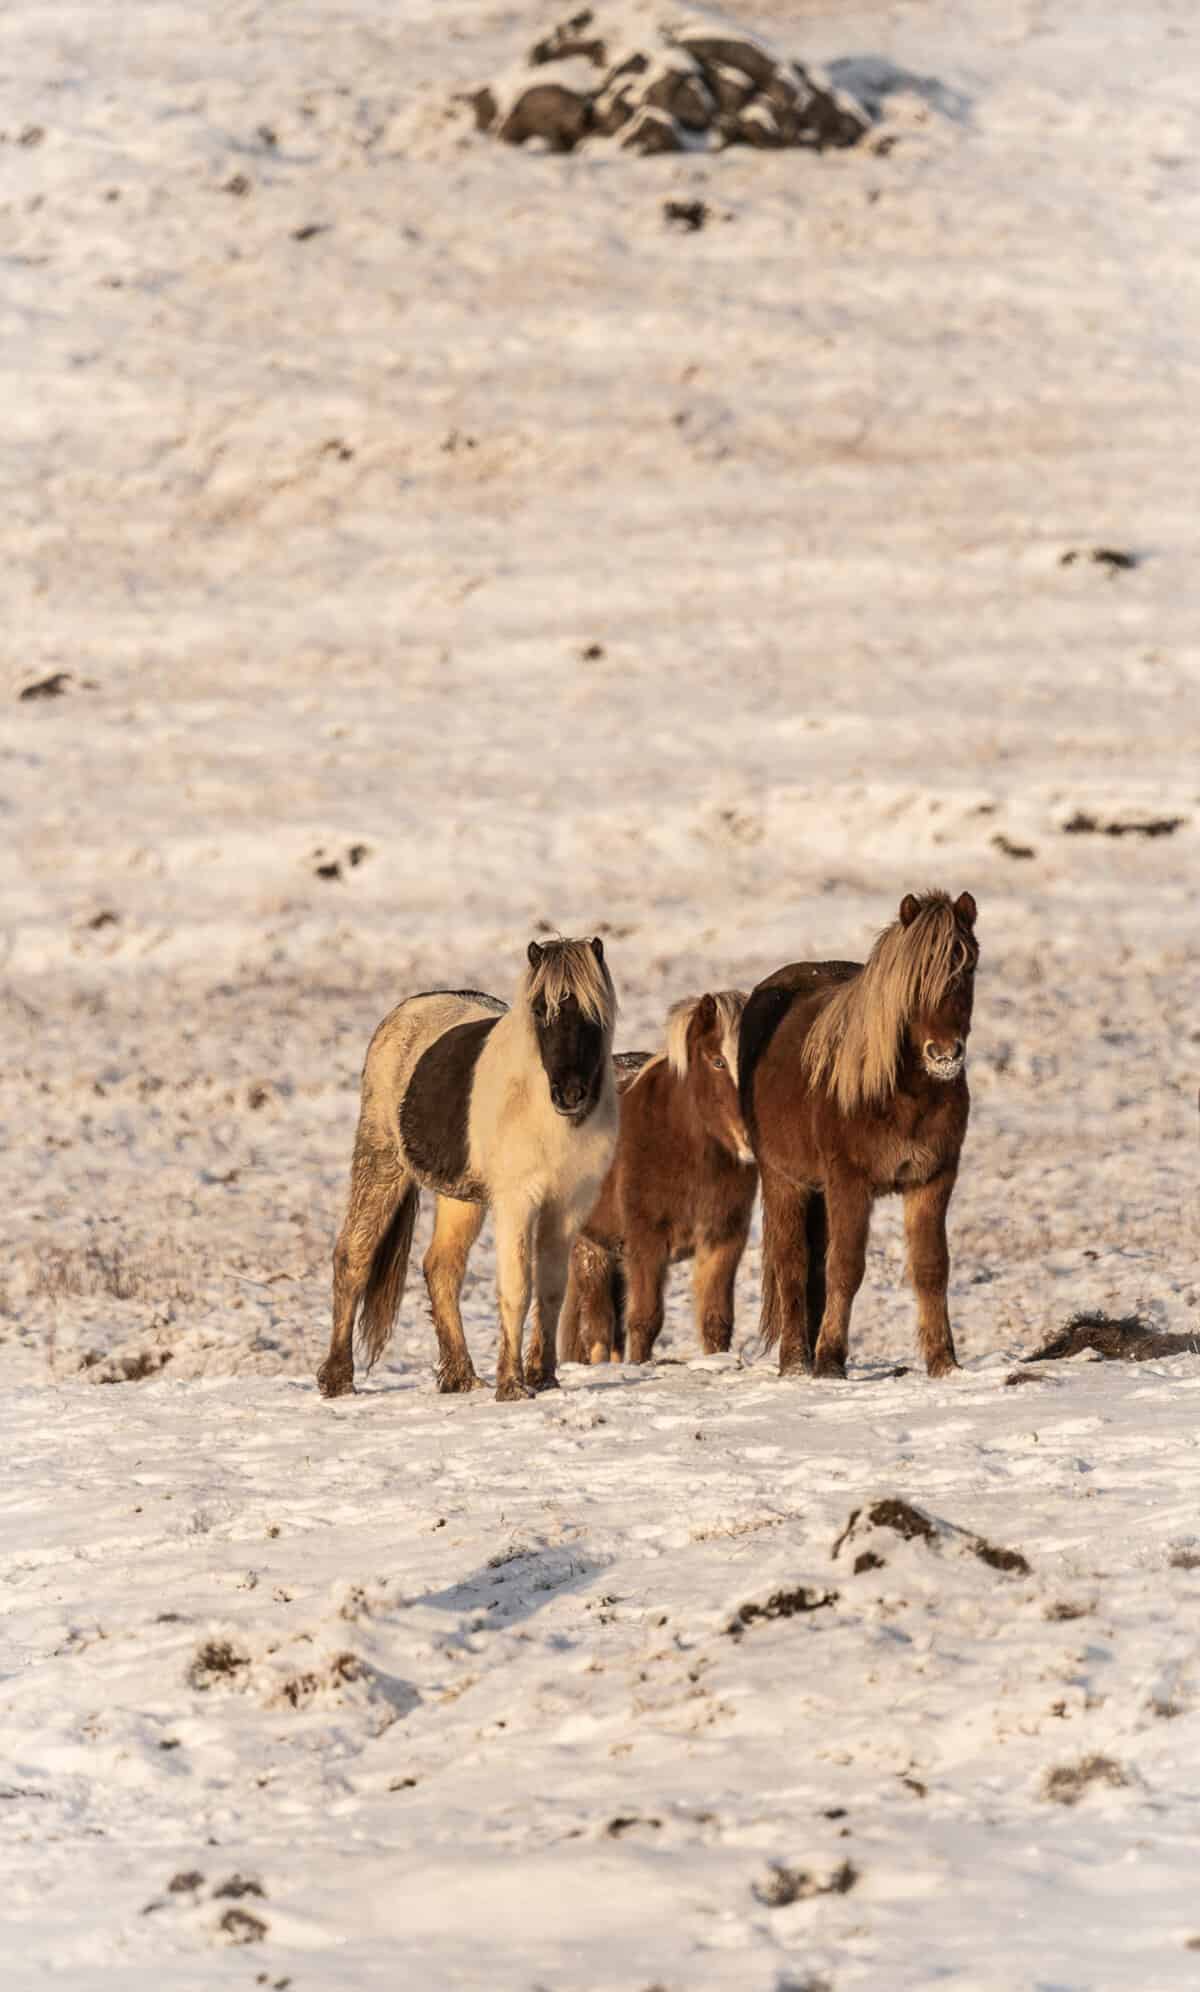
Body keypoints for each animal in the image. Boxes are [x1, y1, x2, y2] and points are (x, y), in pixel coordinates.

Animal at [316, 937, 618, 1403]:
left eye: (593, 1013)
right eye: (540, 1012)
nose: (570, 1093)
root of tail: (408, 1008)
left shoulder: (567, 1205)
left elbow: (552, 1289)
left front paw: (544, 1377)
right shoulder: (517, 1202)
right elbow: (517, 1287)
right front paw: (512, 1385)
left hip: (460, 1197)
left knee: (441, 1268)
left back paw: (460, 1376)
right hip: (381, 1161)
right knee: (353, 1257)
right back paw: (337, 1379)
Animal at [558, 991, 758, 1367]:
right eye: (717, 1061)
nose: (751, 1139)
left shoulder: (724, 1239)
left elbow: (716, 1320)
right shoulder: (646, 1242)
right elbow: (645, 1320)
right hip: (590, 1247)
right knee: (597, 1327)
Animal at [738, 891, 978, 1380]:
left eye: (968, 969)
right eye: (916, 979)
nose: (945, 1054)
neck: (903, 1094)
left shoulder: (934, 1179)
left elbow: (931, 1269)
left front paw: (944, 1362)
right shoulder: (850, 1183)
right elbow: (846, 1268)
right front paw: (830, 1360)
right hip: (785, 1180)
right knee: (792, 1265)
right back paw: (796, 1361)